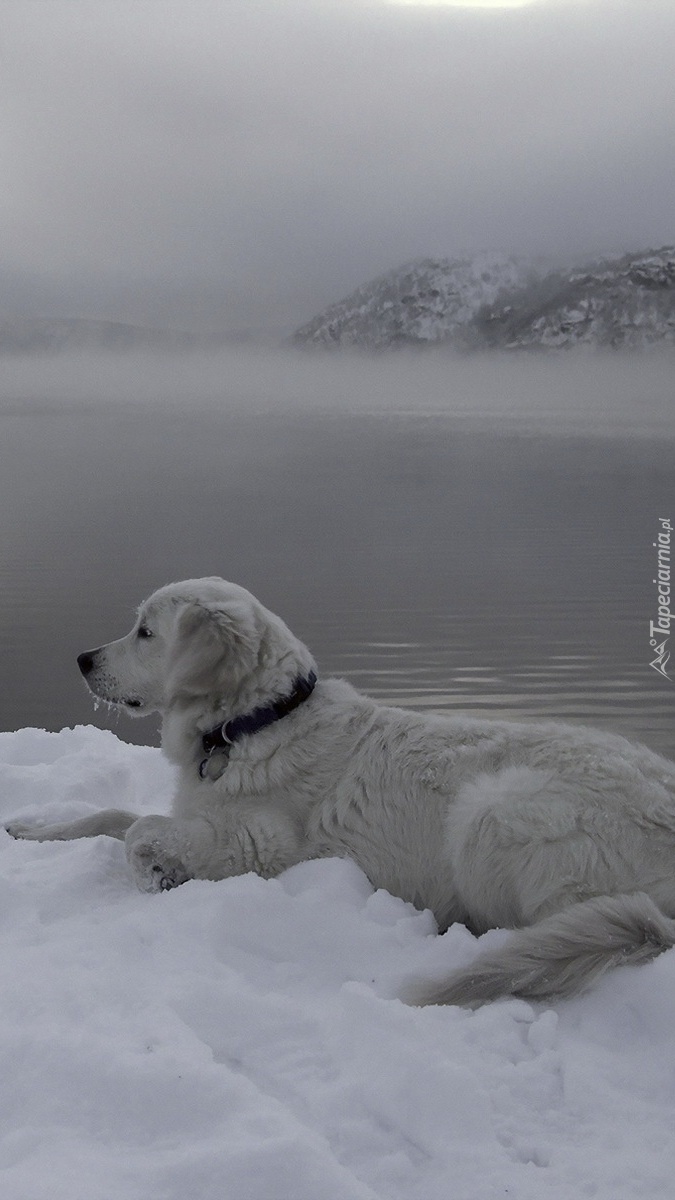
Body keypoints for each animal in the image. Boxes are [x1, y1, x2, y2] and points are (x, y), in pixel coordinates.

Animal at [7, 576, 672, 1008]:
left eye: (145, 632)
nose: (82, 659)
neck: (254, 722)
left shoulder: (259, 844)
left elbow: (141, 830)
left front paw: (157, 877)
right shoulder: (197, 811)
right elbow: (109, 812)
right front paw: (32, 828)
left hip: (491, 811)